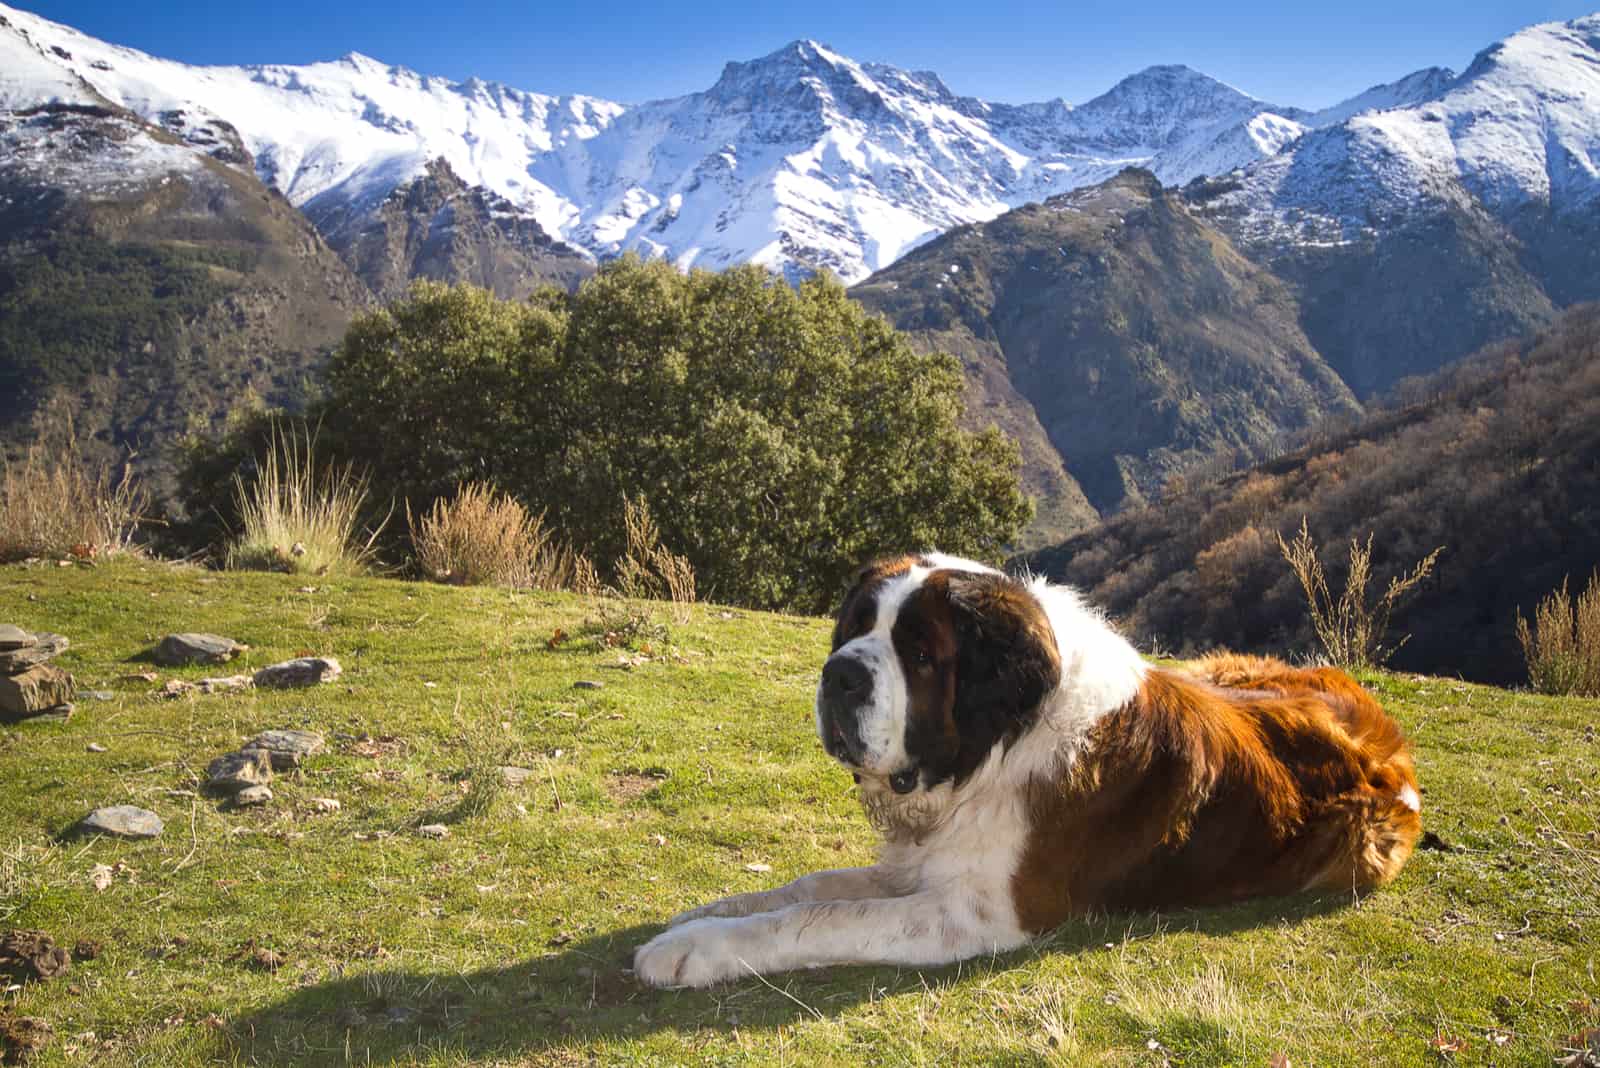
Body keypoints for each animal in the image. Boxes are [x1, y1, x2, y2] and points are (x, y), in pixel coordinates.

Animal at [630, 556, 1420, 991]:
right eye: (854, 628)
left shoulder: (978, 911)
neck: (999, 747)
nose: (840, 674)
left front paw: (694, 950)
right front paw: (708, 912)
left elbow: (816, 918)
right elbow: (810, 886)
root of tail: (1394, 753)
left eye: (921, 654)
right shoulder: (919, 865)